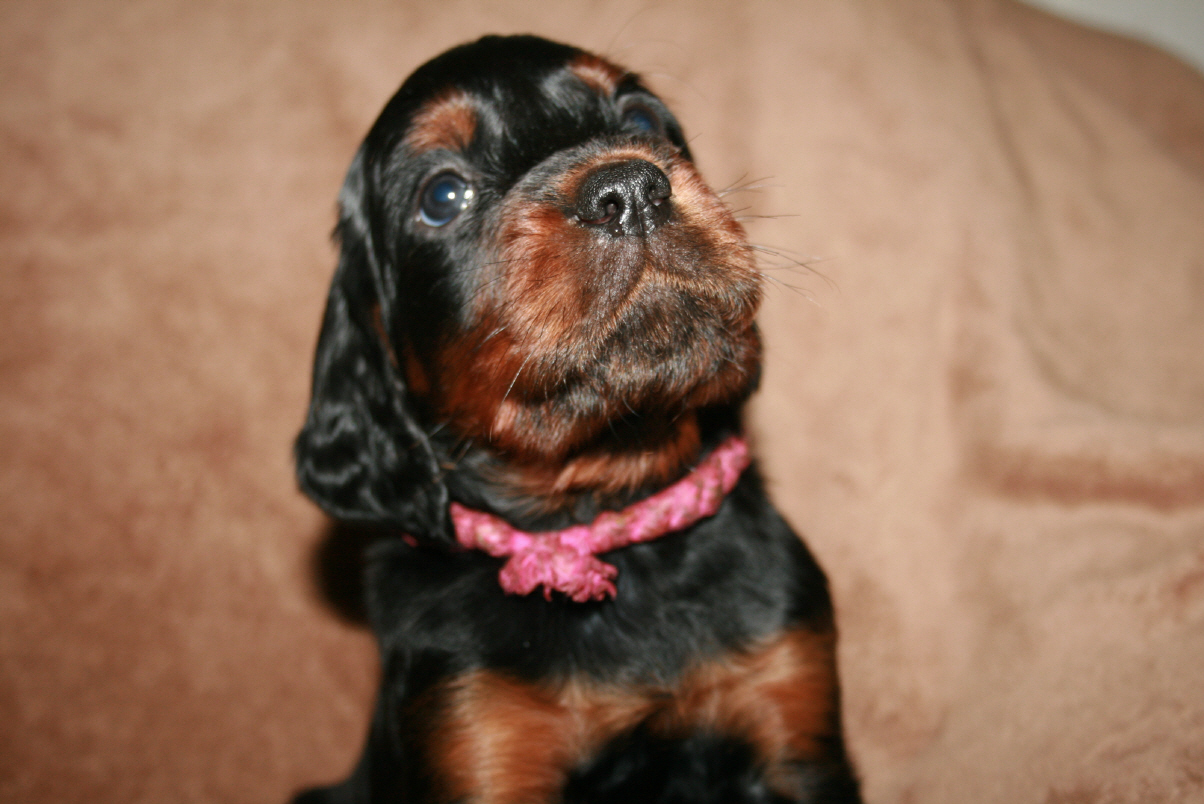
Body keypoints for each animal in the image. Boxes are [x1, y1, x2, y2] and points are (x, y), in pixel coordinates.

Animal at [293, 35, 861, 804]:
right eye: (441, 196)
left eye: (642, 121)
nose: (629, 191)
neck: (607, 525)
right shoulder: (479, 736)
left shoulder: (792, 720)